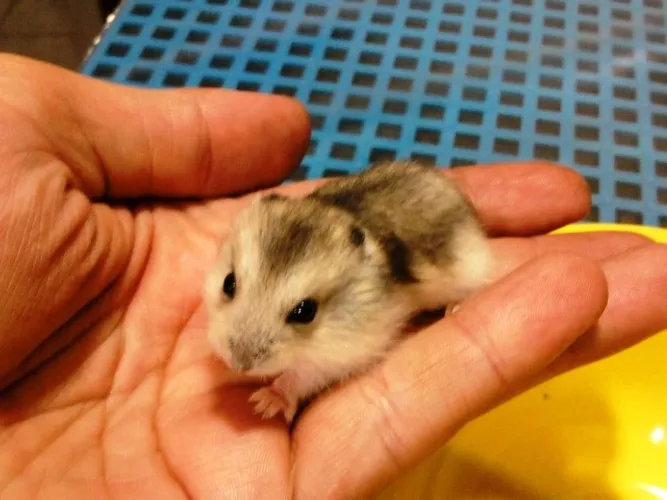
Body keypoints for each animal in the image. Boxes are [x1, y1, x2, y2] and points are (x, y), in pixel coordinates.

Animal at [203, 160, 493, 423]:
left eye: (305, 311)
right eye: (228, 283)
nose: (239, 365)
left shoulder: (342, 355)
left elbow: (301, 377)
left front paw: (263, 404)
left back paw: (455, 307)